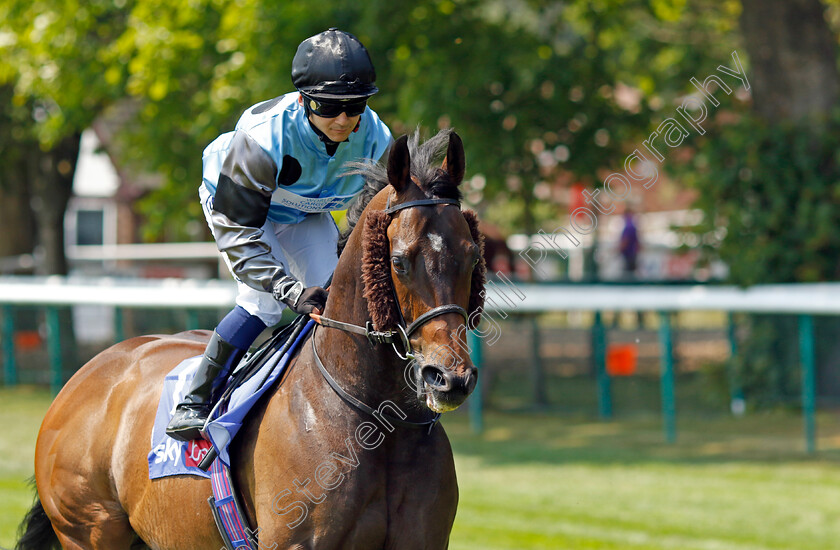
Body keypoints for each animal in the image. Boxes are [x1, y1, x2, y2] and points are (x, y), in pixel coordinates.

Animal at [18, 130, 486, 550]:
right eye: (400, 261)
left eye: (472, 255)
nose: (449, 378)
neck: (376, 421)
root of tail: (85, 377)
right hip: (88, 529)